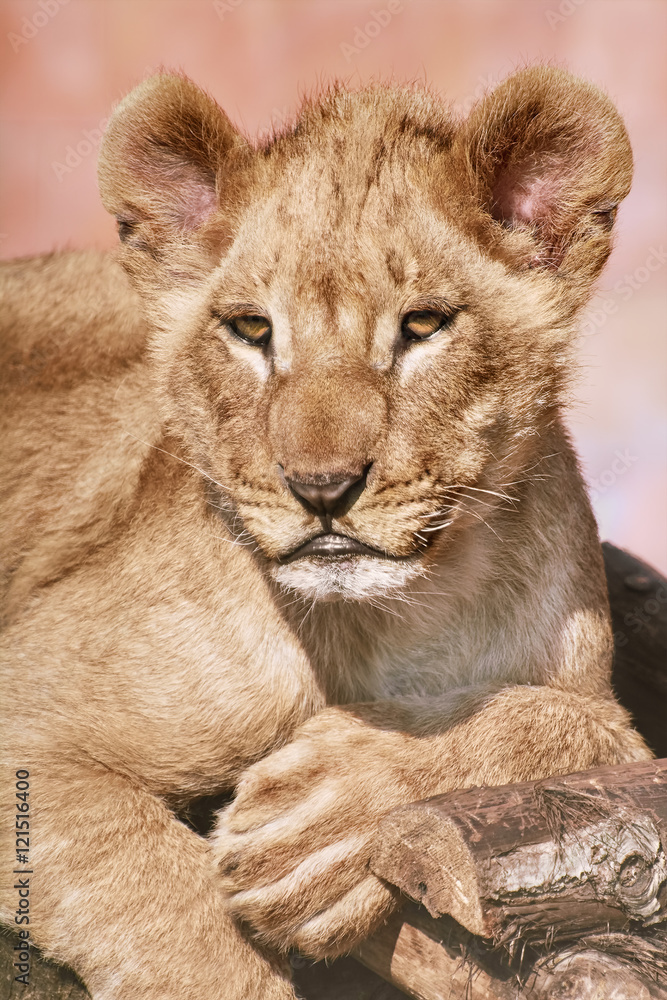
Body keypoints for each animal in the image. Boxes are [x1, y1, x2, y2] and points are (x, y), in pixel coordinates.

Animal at [0, 66, 651, 999]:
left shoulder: (588, 698)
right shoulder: (30, 713)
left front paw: (321, 824)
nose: (321, 488)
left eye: (422, 326)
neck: (382, 622)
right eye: (251, 329)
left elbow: (563, 723)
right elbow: (170, 913)